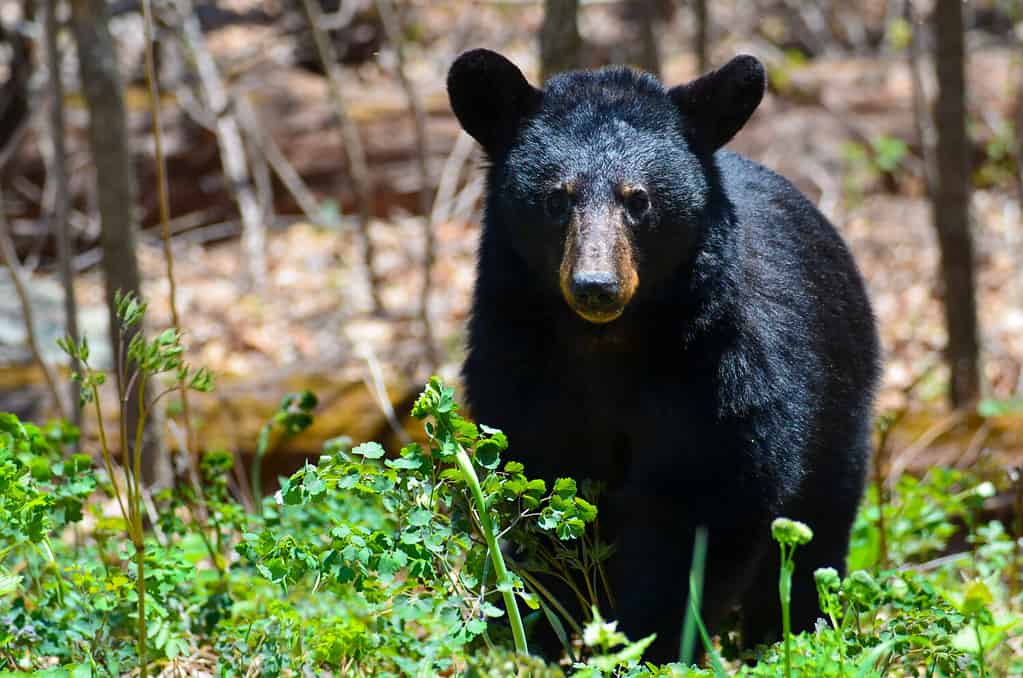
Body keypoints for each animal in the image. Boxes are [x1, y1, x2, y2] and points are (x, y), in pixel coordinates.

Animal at [446, 50, 879, 666]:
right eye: (556, 198)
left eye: (639, 199)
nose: (595, 286)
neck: (607, 347)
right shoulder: (517, 366)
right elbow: (538, 495)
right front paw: (548, 635)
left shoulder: (722, 375)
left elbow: (702, 510)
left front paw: (650, 640)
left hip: (841, 400)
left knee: (816, 525)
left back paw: (790, 630)